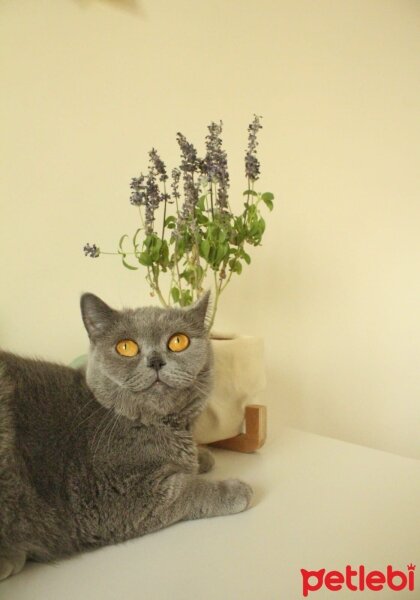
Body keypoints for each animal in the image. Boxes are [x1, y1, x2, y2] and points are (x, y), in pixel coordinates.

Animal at [0, 292, 253, 580]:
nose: (155, 360)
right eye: (126, 347)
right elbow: (185, 489)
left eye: (178, 341)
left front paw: (202, 457)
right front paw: (233, 490)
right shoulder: (116, 497)